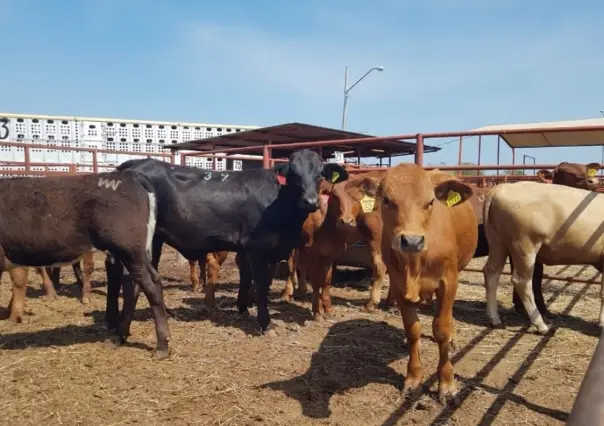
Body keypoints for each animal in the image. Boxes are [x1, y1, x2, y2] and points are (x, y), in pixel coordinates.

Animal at [0, 171, 170, 358]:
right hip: (129, 253)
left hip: (129, 250)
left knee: (150, 285)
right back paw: (119, 337)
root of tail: (128, 176)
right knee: (133, 286)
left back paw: (161, 346)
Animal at [105, 150, 346, 336]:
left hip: (152, 239)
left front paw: (243, 308)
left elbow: (247, 278)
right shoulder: (258, 248)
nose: (311, 202)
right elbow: (261, 285)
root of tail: (132, 164)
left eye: (319, 174)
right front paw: (265, 324)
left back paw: (115, 319)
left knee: (118, 269)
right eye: (294, 174)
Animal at [346, 165, 478, 404]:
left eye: (430, 202)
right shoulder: (399, 286)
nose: (412, 241)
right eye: (387, 200)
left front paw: (447, 383)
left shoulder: (449, 281)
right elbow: (413, 329)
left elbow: (441, 329)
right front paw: (414, 377)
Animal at [482, 180, 604, 332]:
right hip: (525, 246)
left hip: (497, 243)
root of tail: (501, 187)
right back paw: (541, 325)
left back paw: (496, 320)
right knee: (522, 282)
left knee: (491, 273)